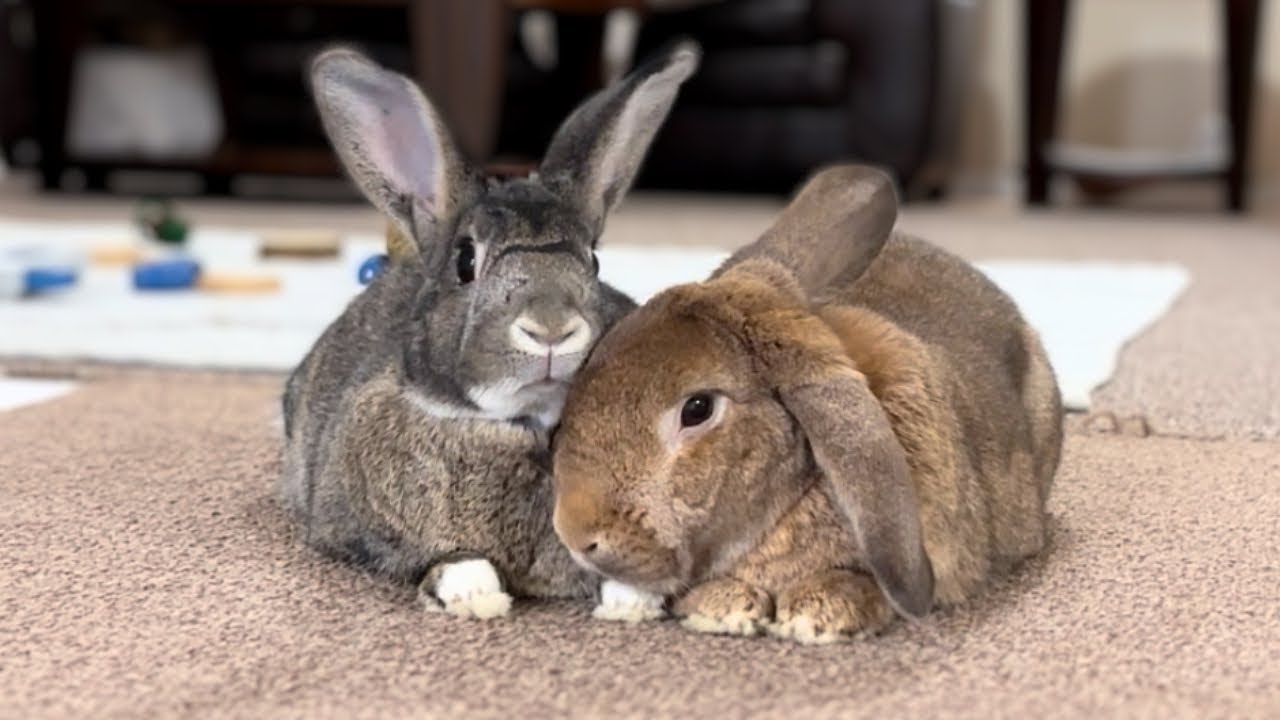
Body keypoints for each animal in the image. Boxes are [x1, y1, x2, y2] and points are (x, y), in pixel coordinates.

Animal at [280, 41, 701, 620]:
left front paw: (633, 604)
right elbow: (446, 558)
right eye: (465, 262)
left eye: (593, 261)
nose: (551, 329)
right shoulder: (363, 533)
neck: (524, 423)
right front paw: (475, 597)